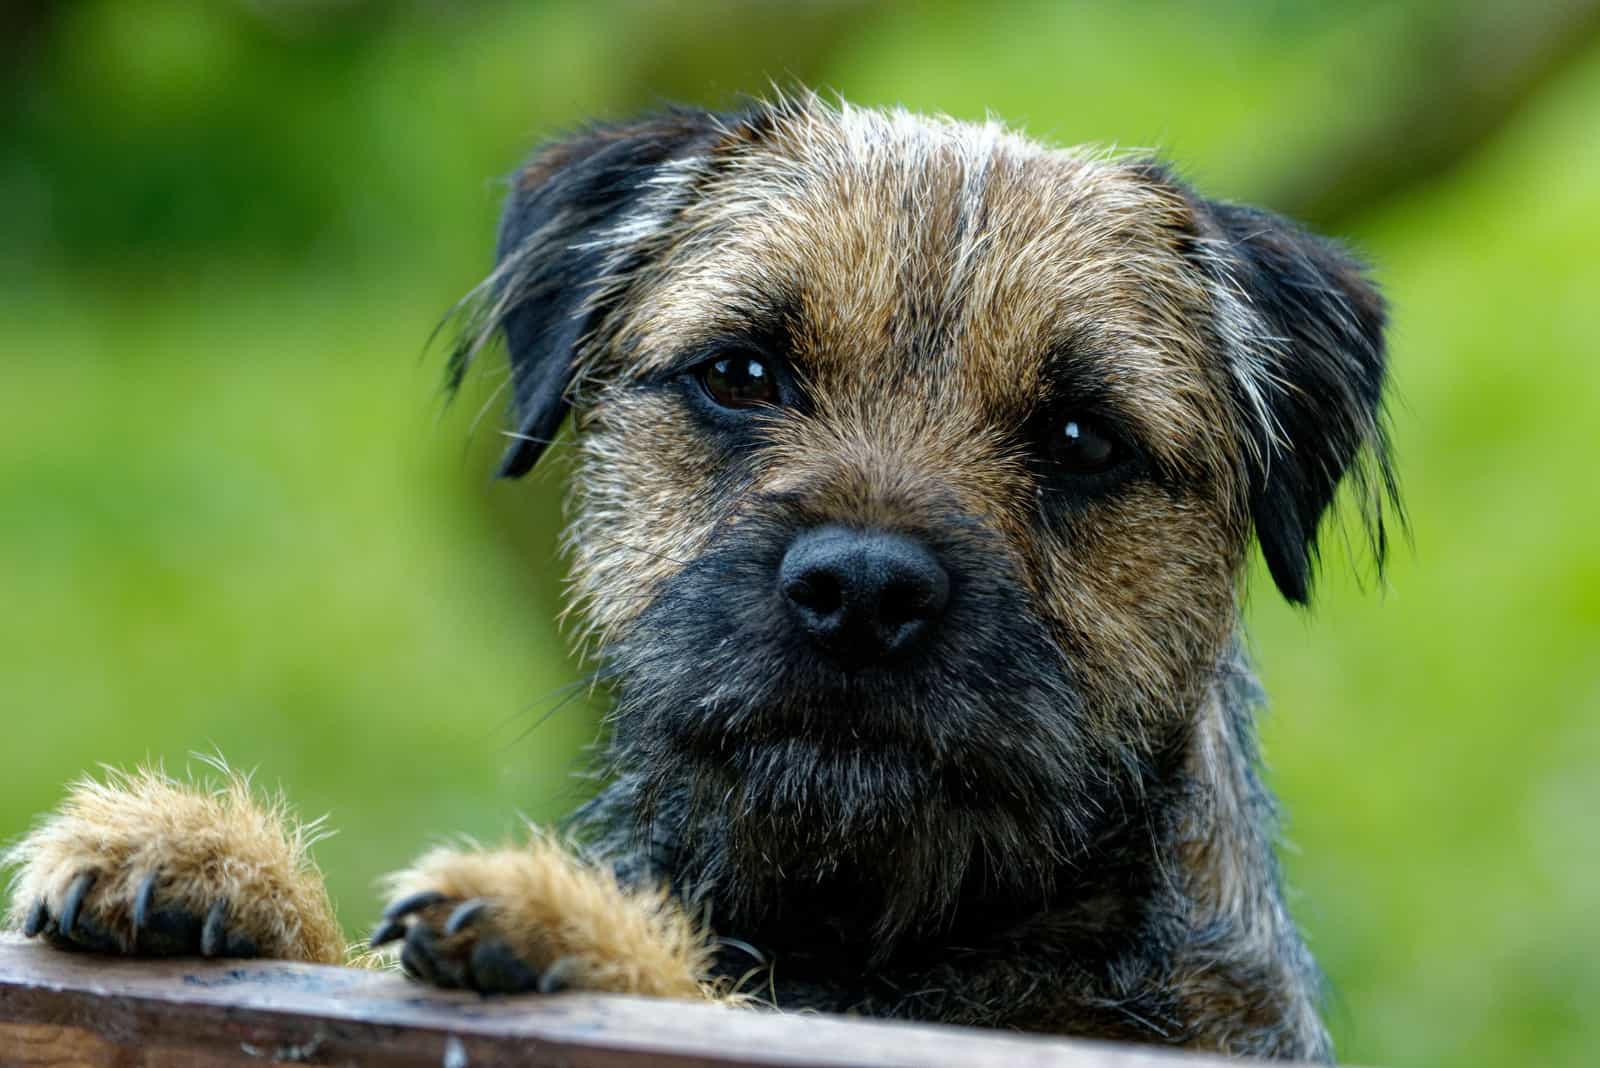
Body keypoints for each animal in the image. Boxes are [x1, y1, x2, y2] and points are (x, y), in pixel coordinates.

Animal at [6, 91, 1395, 1061]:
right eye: (741, 373)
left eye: (1077, 438)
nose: (863, 590)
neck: (866, 933)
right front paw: (216, 866)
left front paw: (570, 928)